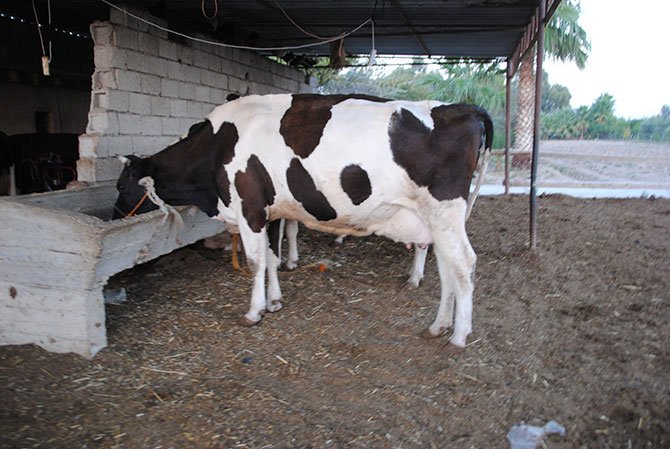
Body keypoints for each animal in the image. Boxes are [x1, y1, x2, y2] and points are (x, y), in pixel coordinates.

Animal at [112, 93, 492, 348]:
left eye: (121, 186)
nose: (115, 215)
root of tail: (460, 107)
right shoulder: (272, 212)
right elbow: (271, 258)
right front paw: (274, 301)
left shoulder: (250, 208)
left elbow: (255, 262)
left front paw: (254, 311)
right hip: (435, 220)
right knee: (447, 267)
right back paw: (439, 326)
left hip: (444, 211)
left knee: (464, 264)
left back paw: (459, 335)